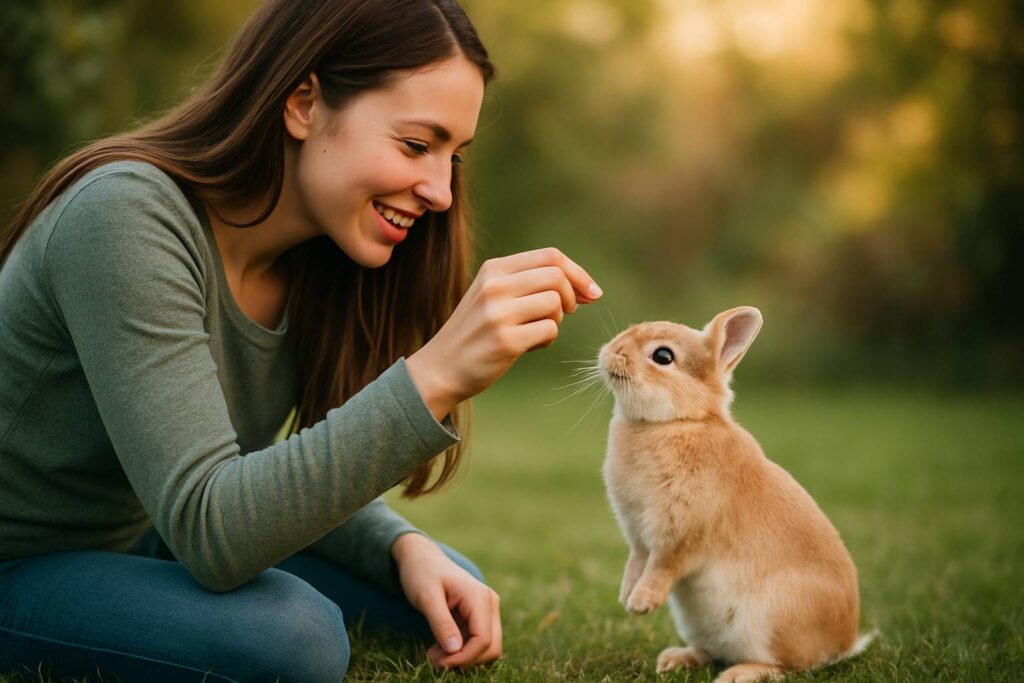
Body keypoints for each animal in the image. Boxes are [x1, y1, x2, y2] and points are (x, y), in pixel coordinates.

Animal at [598, 307, 874, 683]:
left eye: (663, 357)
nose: (611, 351)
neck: (677, 422)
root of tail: (842, 643)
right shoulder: (638, 536)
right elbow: (636, 562)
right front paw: (625, 596)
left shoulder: (679, 534)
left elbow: (660, 566)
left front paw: (640, 604)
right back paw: (674, 659)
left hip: (768, 621)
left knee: (787, 666)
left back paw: (738, 674)